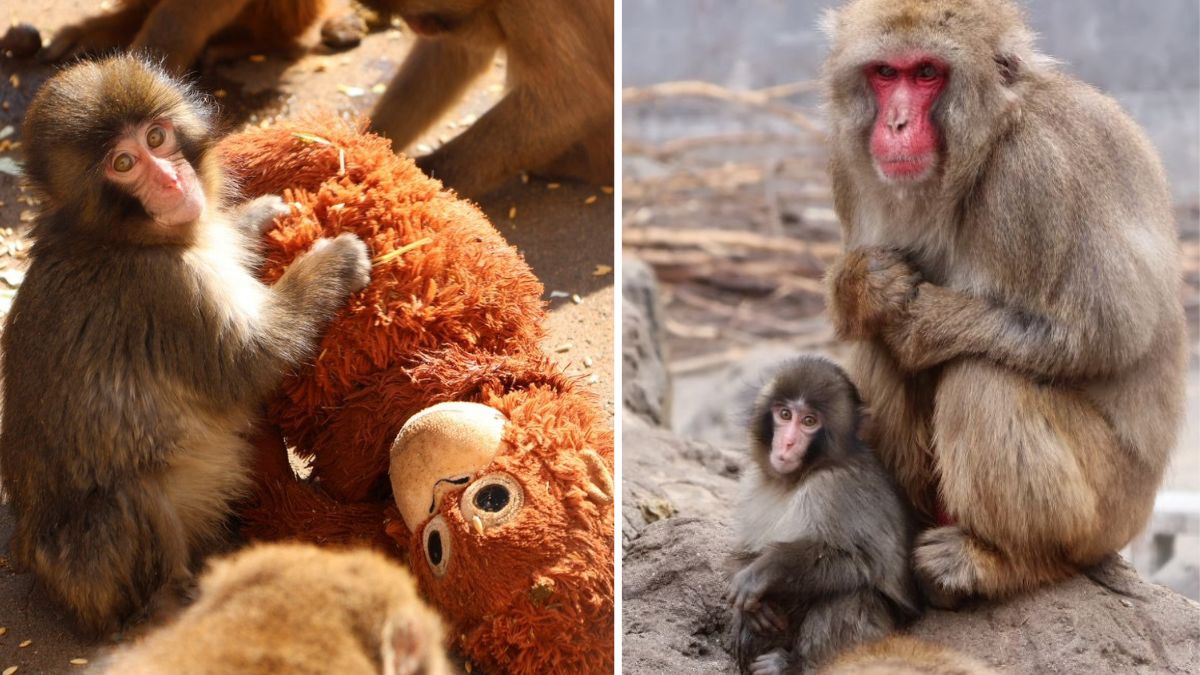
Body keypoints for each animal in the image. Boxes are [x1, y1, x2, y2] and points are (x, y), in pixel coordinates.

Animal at [0, 54, 371, 637]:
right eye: (124, 163)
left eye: (157, 137)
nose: (172, 180)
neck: (119, 237)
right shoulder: (167, 291)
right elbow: (251, 362)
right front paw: (332, 263)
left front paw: (255, 216)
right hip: (93, 573)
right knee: (132, 498)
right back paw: (172, 603)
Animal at [364, 0, 615, 199]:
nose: (417, 26)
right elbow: (455, 52)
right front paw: (370, 140)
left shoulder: (532, 6)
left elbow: (574, 101)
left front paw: (420, 183)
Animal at [729, 355, 920, 675]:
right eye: (784, 414)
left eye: (809, 421)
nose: (787, 443)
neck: (797, 478)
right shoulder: (753, 484)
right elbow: (744, 550)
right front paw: (754, 606)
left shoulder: (835, 489)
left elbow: (861, 560)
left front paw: (767, 570)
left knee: (850, 592)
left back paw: (793, 665)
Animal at [820, 0, 1187, 607]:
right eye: (885, 73)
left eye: (927, 73)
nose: (895, 125)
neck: (986, 142)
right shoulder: (846, 167)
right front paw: (866, 285)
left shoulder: (1032, 174)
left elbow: (1102, 333)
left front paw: (921, 325)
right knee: (875, 350)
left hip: (1108, 509)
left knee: (982, 378)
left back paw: (1004, 562)